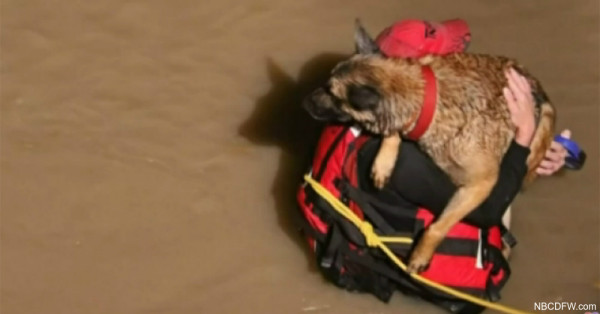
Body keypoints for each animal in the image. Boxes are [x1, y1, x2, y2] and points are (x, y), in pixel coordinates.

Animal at [302, 20, 556, 274]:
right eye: (326, 85)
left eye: (331, 93)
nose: (304, 101)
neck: (428, 102)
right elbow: (393, 132)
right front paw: (384, 162)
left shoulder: (482, 184)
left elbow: (439, 225)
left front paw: (421, 254)